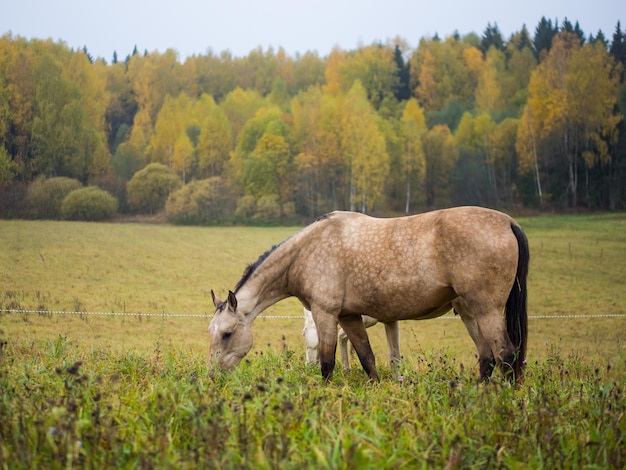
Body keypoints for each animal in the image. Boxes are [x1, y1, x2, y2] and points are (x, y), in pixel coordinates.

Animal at [208, 207, 528, 384]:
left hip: (486, 312)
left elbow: (327, 363)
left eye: (227, 334)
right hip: (469, 312)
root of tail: (508, 222)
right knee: (486, 357)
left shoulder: (326, 314)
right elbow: (367, 359)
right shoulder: (349, 317)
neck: (307, 251)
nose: (213, 376)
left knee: (506, 355)